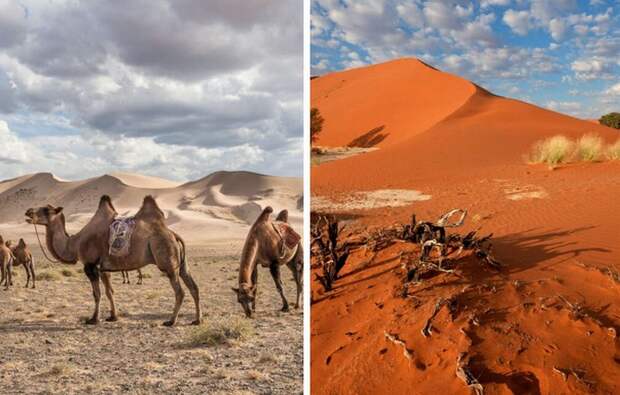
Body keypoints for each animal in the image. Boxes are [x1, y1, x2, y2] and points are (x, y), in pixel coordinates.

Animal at [26, 196, 201, 328]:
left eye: (46, 210)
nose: (28, 211)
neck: (74, 244)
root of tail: (174, 235)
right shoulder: (104, 268)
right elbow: (110, 292)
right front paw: (112, 317)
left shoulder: (90, 265)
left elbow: (97, 294)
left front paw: (93, 319)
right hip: (182, 265)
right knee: (193, 287)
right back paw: (197, 320)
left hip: (168, 262)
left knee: (180, 291)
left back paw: (171, 321)